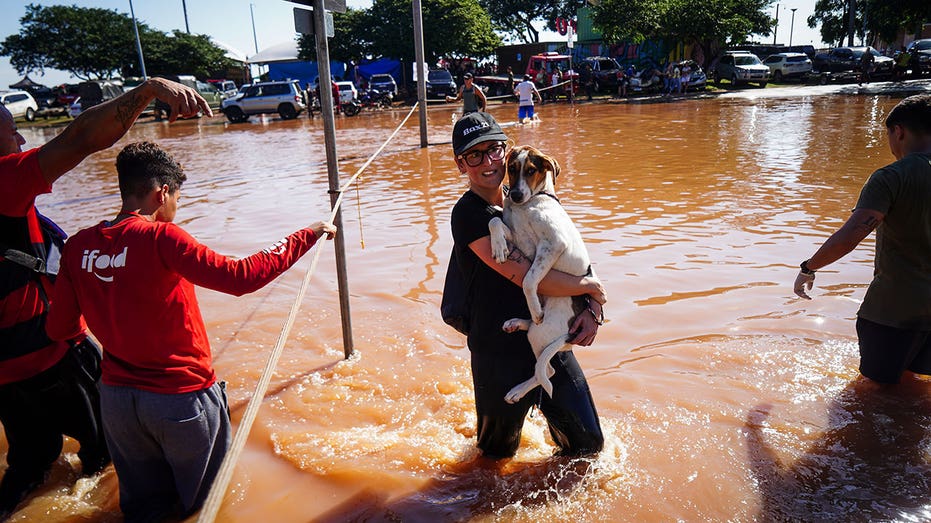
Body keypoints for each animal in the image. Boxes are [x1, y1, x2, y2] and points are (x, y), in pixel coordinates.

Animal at [488, 145, 596, 404]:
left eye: (531, 171)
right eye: (511, 168)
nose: (515, 195)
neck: (529, 204)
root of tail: (569, 336)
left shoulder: (553, 244)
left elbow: (528, 280)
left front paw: (536, 310)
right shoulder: (517, 237)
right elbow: (494, 220)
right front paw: (498, 246)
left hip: (541, 333)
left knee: (547, 371)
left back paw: (517, 390)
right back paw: (517, 322)